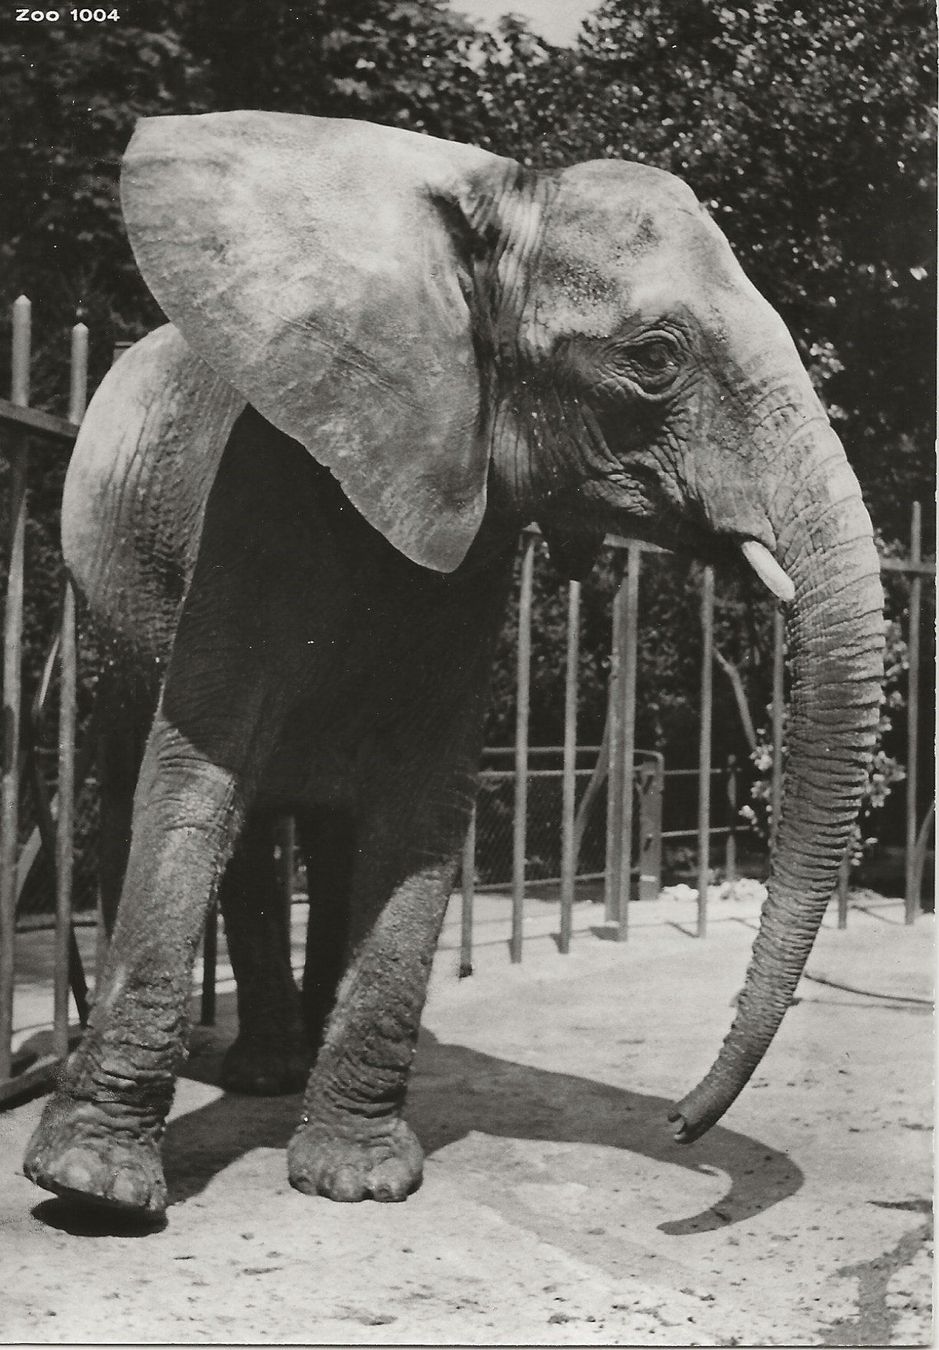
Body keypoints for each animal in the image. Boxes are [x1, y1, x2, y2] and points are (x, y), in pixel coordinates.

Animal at [24, 111, 883, 1218]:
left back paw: (295, 1067)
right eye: (654, 357)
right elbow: (200, 772)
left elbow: (424, 796)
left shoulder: (468, 524)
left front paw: (357, 1179)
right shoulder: (258, 487)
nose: (677, 1122)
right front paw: (91, 1189)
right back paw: (262, 1076)